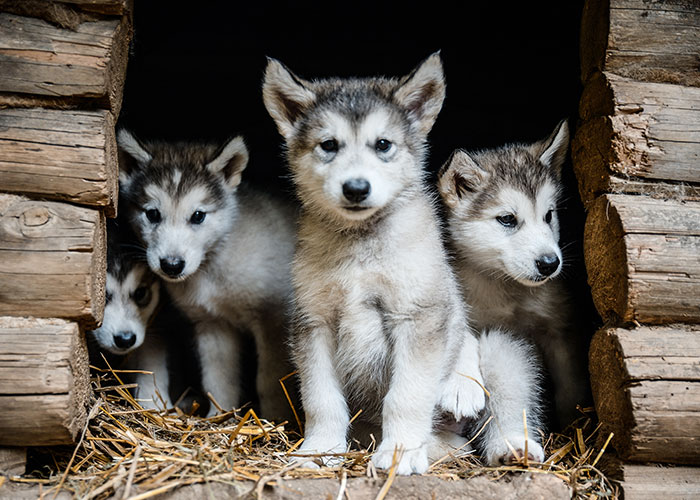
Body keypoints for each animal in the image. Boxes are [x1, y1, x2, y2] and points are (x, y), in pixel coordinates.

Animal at [88, 219, 207, 413]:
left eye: (140, 293)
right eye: (102, 296)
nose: (125, 339)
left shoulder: (158, 324)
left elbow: (152, 360)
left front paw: (153, 399)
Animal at [117, 133, 297, 419]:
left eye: (198, 216)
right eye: (152, 214)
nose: (172, 265)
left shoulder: (274, 319)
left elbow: (269, 382)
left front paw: (275, 420)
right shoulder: (214, 324)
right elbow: (218, 380)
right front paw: (218, 416)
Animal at [262, 53, 485, 475]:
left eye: (383, 145)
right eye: (329, 145)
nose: (356, 188)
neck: (360, 245)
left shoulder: (417, 316)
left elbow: (406, 396)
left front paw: (400, 451)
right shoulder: (313, 322)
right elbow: (321, 398)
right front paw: (320, 449)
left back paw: (460, 390)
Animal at [438, 120, 590, 463]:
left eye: (548, 215)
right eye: (507, 219)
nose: (549, 263)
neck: (506, 287)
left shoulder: (559, 327)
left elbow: (570, 379)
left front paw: (576, 417)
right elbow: (463, 338)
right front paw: (462, 386)